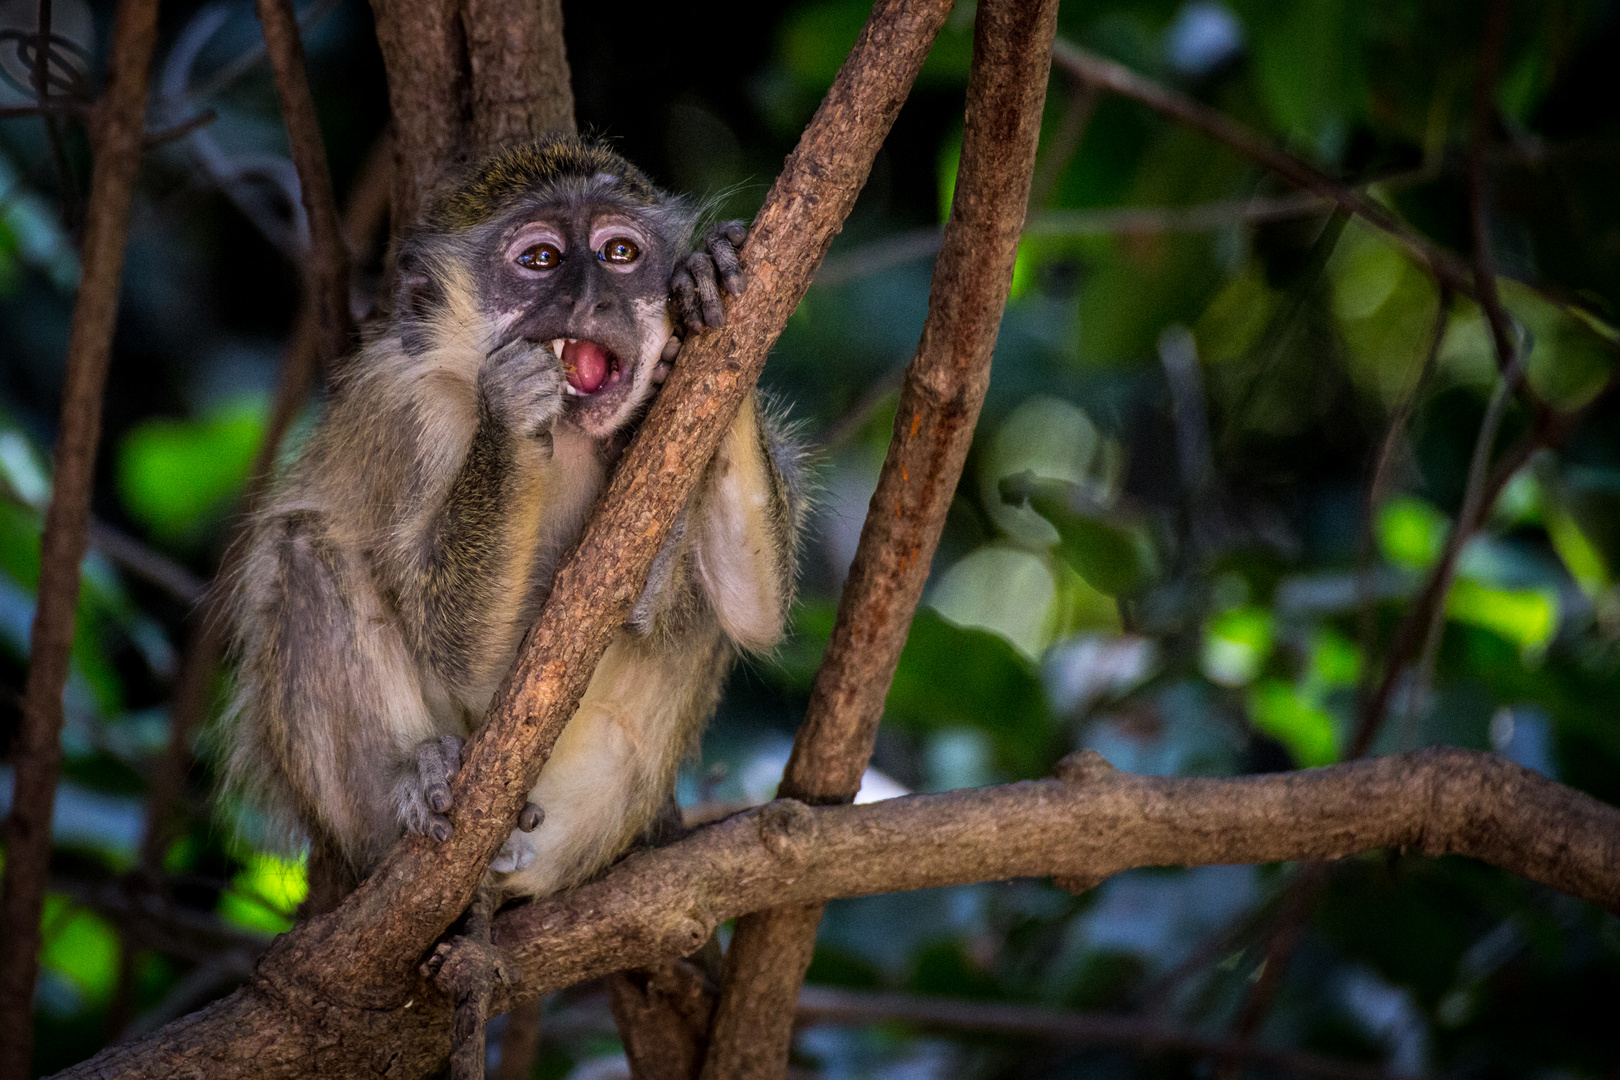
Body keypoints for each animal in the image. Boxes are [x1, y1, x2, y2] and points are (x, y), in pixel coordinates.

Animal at [225, 132, 806, 893]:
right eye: (541, 260)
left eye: (620, 253)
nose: (593, 297)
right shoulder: (414, 414)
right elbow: (460, 652)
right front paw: (507, 414)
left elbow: (751, 613)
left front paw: (707, 291)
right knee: (304, 549)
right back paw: (414, 783)